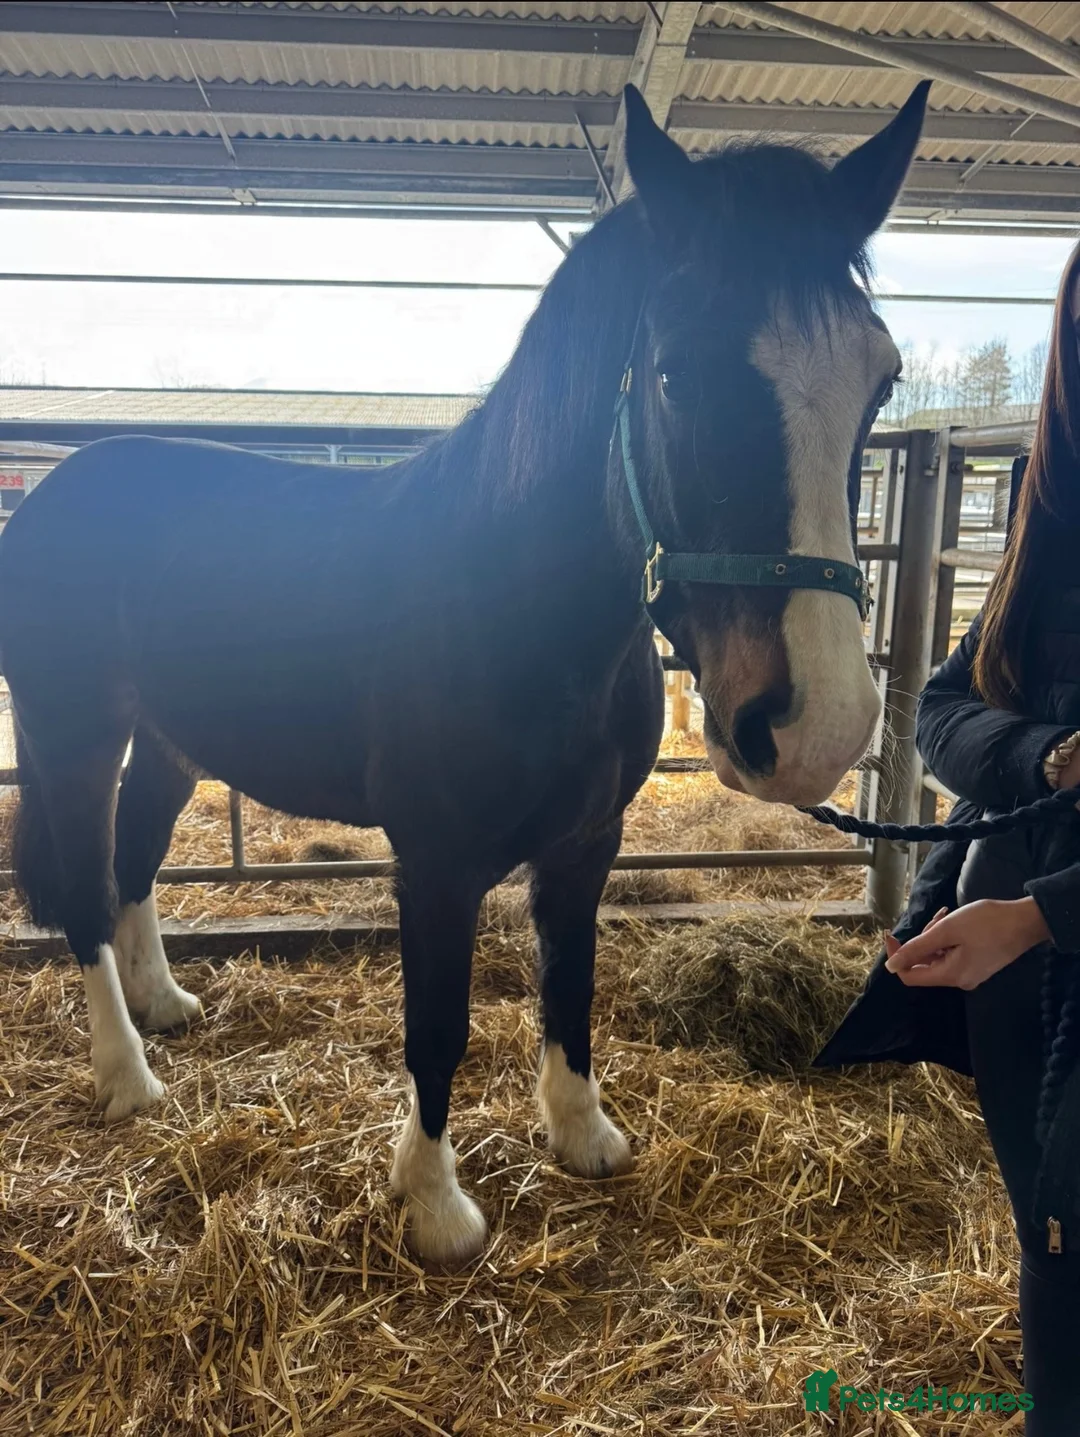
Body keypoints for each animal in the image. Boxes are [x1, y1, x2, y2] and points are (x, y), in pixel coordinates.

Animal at [0, 81, 928, 1265]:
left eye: (880, 379)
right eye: (675, 373)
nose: (817, 727)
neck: (512, 606)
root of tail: (60, 485)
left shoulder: (587, 845)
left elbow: (569, 989)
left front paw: (583, 1137)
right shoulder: (434, 866)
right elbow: (435, 1027)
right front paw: (436, 1206)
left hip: (167, 741)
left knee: (133, 864)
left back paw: (165, 1005)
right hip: (71, 731)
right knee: (81, 885)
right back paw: (128, 1078)